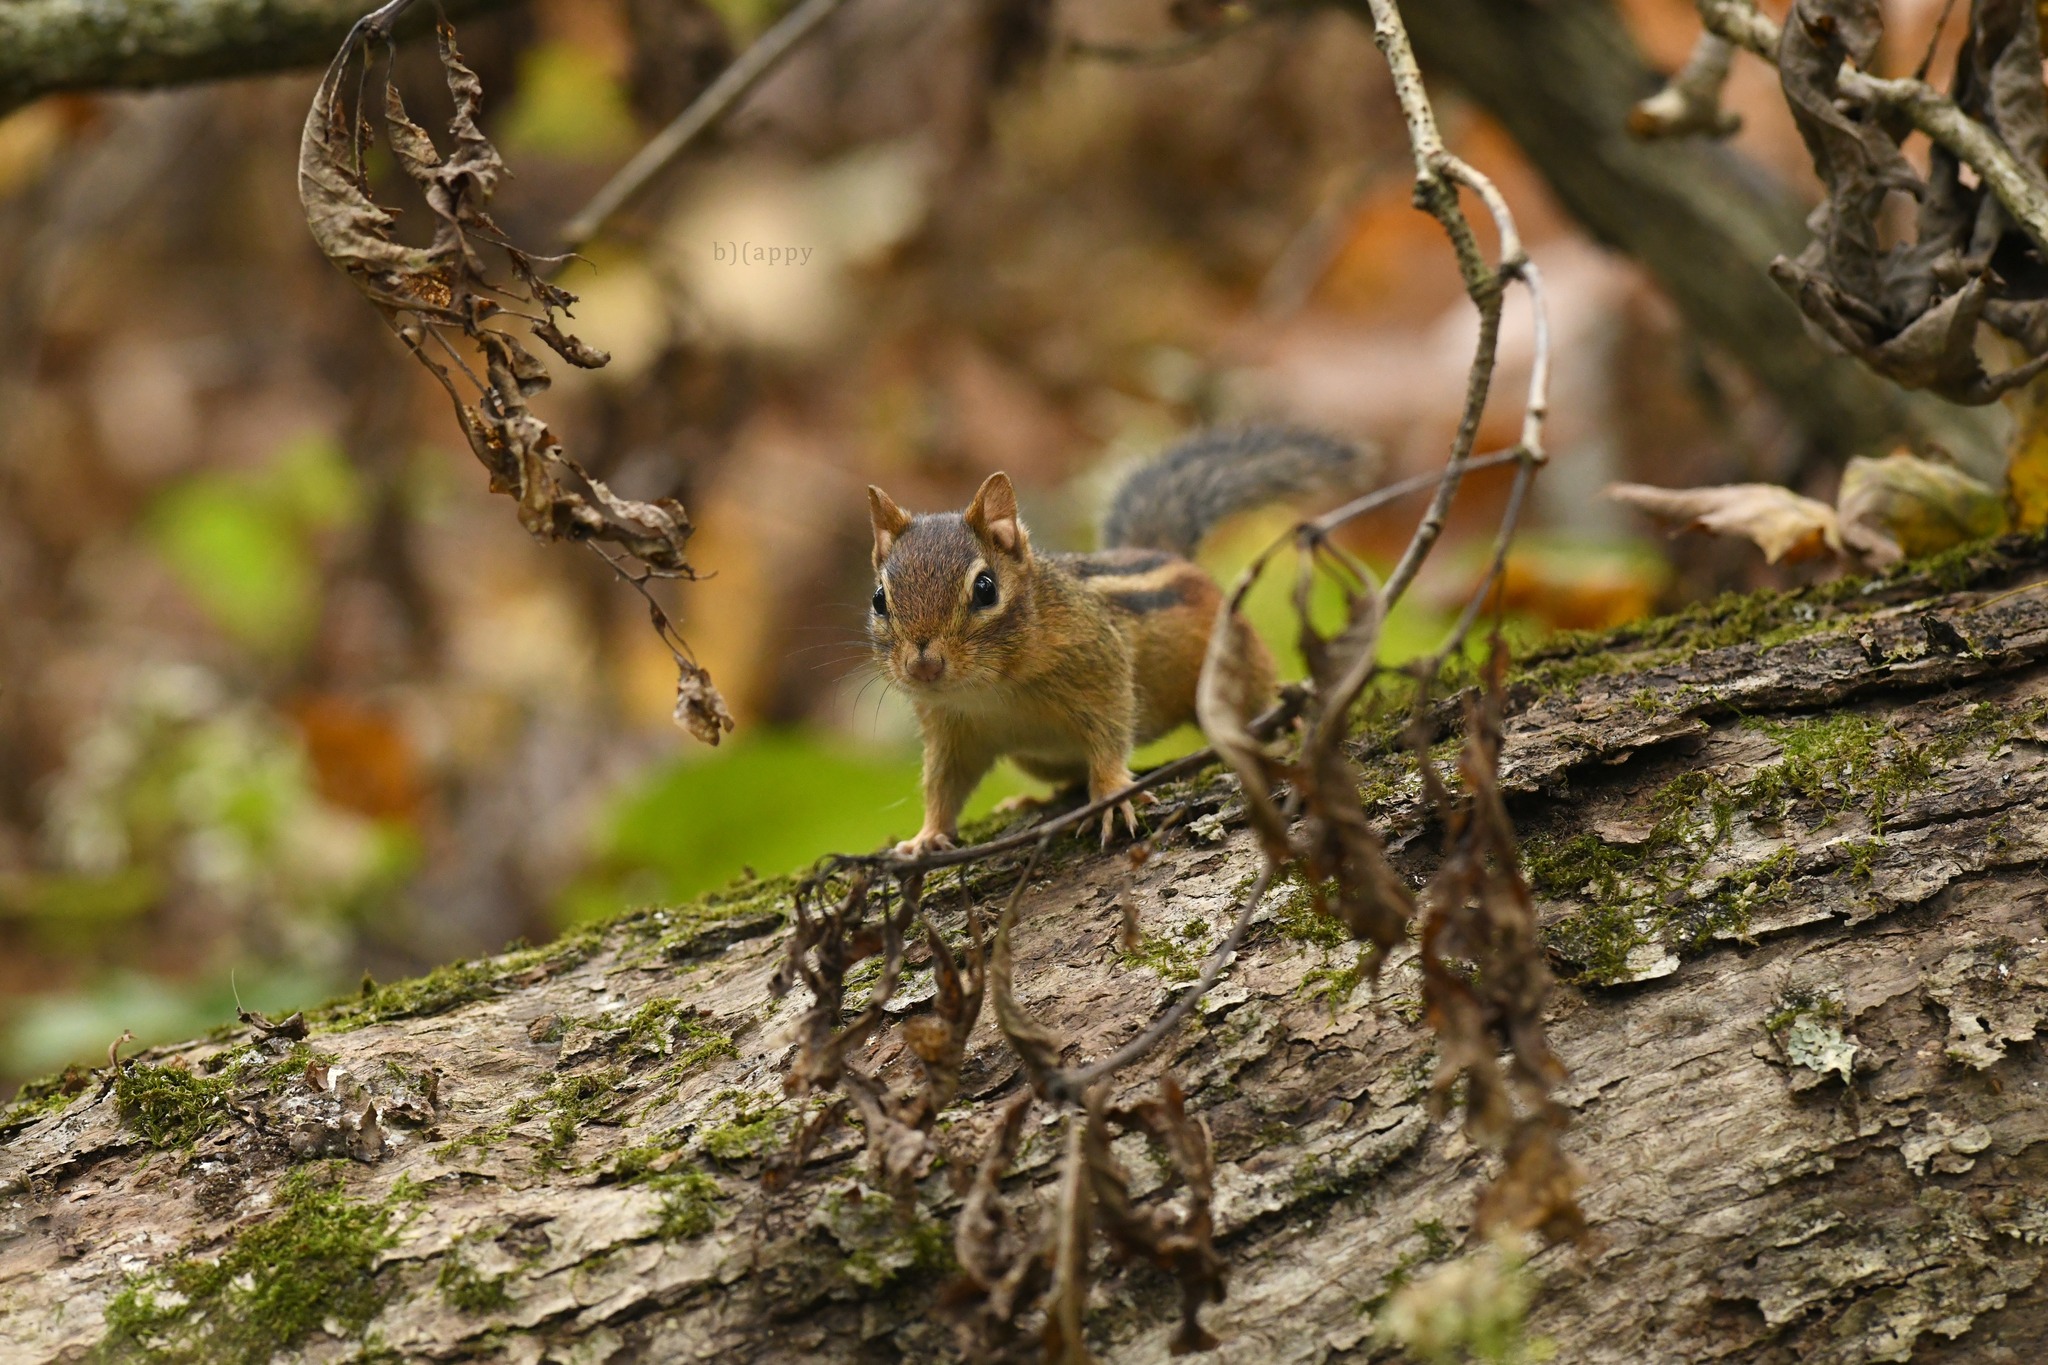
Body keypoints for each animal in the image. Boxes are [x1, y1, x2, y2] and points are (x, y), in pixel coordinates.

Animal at [867, 426, 1379, 857]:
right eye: (879, 598)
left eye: (986, 588)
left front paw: (1112, 792)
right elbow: (943, 783)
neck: (990, 689)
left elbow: (1110, 733)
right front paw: (927, 835)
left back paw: (1286, 719)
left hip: (1234, 660)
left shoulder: (1100, 667)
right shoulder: (951, 730)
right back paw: (1034, 799)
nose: (924, 665)